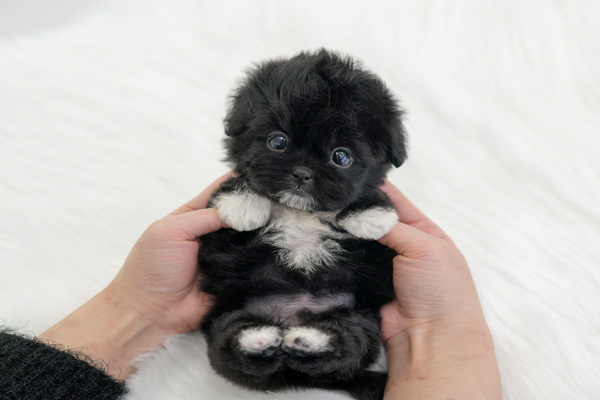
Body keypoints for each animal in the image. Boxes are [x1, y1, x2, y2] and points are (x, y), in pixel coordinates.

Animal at [198, 49, 407, 400]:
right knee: (229, 343)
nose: (302, 172)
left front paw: (373, 213)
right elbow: (235, 190)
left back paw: (309, 341)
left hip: (360, 319)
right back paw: (258, 340)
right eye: (277, 141)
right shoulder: (215, 242)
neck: (299, 212)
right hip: (229, 313)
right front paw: (243, 204)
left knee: (351, 340)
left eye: (341, 157)